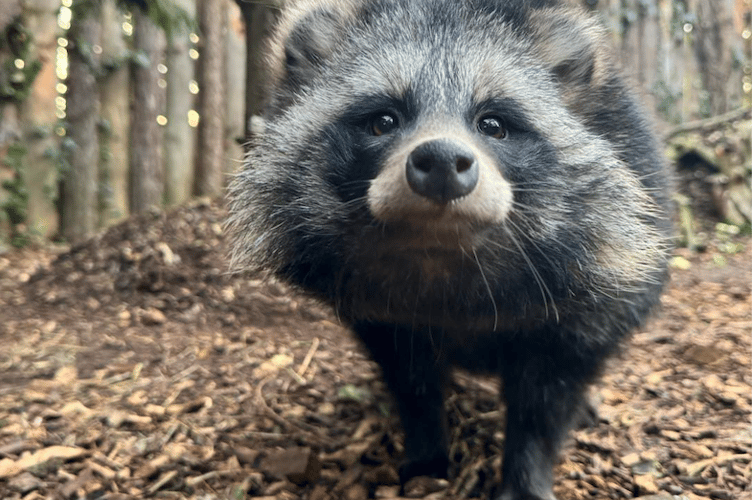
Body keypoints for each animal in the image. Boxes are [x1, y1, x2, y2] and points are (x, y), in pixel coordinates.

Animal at [226, 1, 672, 498]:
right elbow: (411, 380)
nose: (440, 160)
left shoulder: (583, 312)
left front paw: (527, 471)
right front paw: (426, 450)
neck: (442, 256)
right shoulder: (383, 315)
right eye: (383, 120)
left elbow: (546, 400)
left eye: (493, 124)